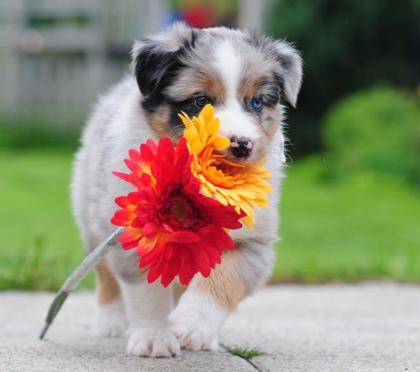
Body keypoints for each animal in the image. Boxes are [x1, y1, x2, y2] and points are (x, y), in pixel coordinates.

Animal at [71, 21, 302, 358]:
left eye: (256, 103)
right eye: (200, 101)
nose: (242, 145)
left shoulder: (253, 241)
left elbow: (225, 278)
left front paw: (192, 326)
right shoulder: (135, 234)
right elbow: (148, 294)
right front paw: (154, 339)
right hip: (93, 216)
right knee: (104, 271)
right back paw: (110, 321)